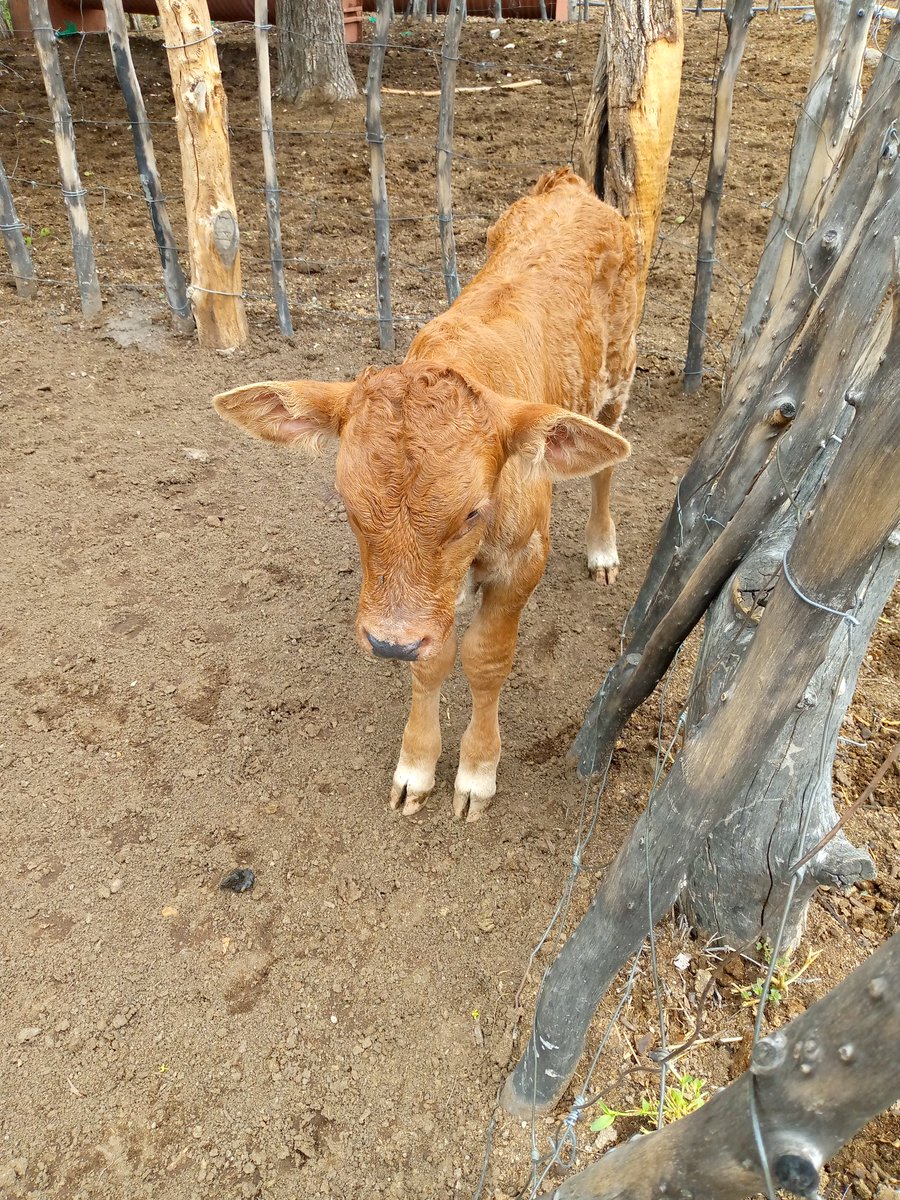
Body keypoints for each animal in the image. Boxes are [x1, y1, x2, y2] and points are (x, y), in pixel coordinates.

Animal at [214, 167, 638, 822]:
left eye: (473, 512)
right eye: (348, 505)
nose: (389, 642)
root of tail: (572, 186)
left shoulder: (524, 560)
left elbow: (486, 660)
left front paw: (477, 773)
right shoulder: (429, 607)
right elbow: (433, 660)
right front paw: (415, 766)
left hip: (621, 375)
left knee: (605, 470)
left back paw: (601, 549)